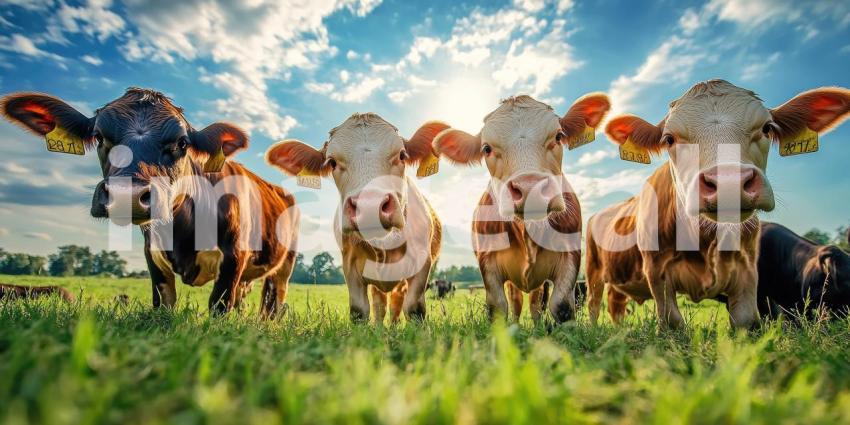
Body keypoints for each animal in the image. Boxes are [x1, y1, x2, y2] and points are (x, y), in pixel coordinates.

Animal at [1, 88, 299, 318]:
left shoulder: (234, 255)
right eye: (99, 137)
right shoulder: (152, 255)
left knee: (272, 301)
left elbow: (219, 306)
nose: (127, 195)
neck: (183, 233)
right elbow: (163, 305)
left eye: (182, 143)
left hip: (285, 263)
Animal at [266, 113, 442, 324]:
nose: (370, 206)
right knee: (380, 304)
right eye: (332, 162)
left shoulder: (422, 263)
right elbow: (359, 311)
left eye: (401, 155)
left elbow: (414, 309)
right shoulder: (350, 265)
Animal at [433, 93, 611, 323]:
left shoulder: (570, 254)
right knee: (517, 302)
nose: (529, 187)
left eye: (558, 136)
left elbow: (561, 305)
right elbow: (498, 306)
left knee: (536, 302)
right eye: (486, 148)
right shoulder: (487, 260)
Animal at [586, 79, 850, 329]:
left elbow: (745, 320)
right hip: (593, 270)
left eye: (767, 128)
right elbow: (672, 321)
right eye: (669, 139)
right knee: (594, 304)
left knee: (615, 304)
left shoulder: (749, 272)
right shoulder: (655, 270)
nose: (729, 182)